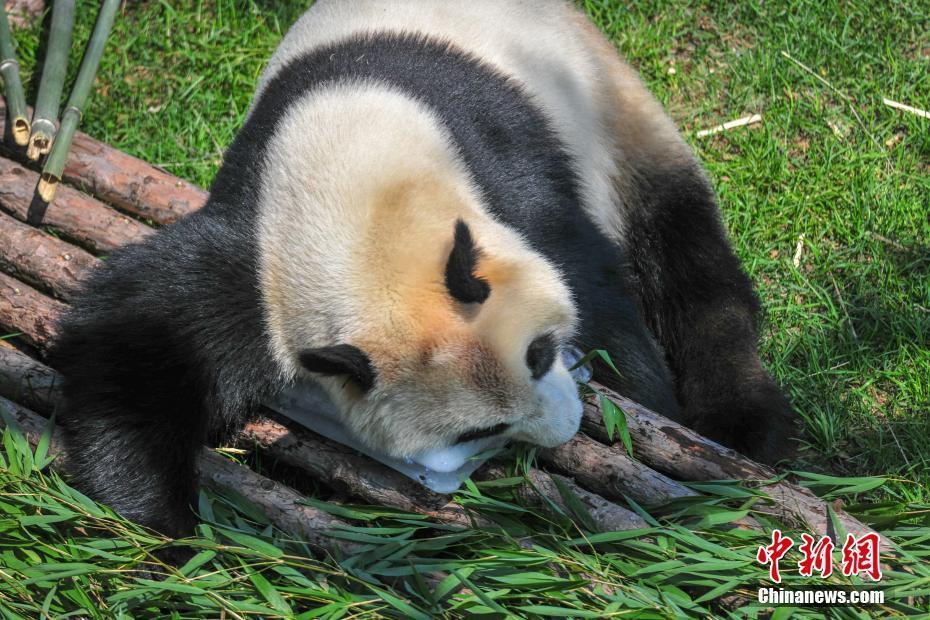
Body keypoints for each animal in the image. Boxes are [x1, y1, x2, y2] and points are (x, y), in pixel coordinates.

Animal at [49, 0, 792, 536]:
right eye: (477, 431)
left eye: (541, 352)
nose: (563, 428)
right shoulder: (258, 251)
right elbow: (134, 334)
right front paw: (163, 517)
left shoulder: (508, 172)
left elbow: (602, 302)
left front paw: (647, 418)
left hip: (611, 109)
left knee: (687, 258)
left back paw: (743, 424)